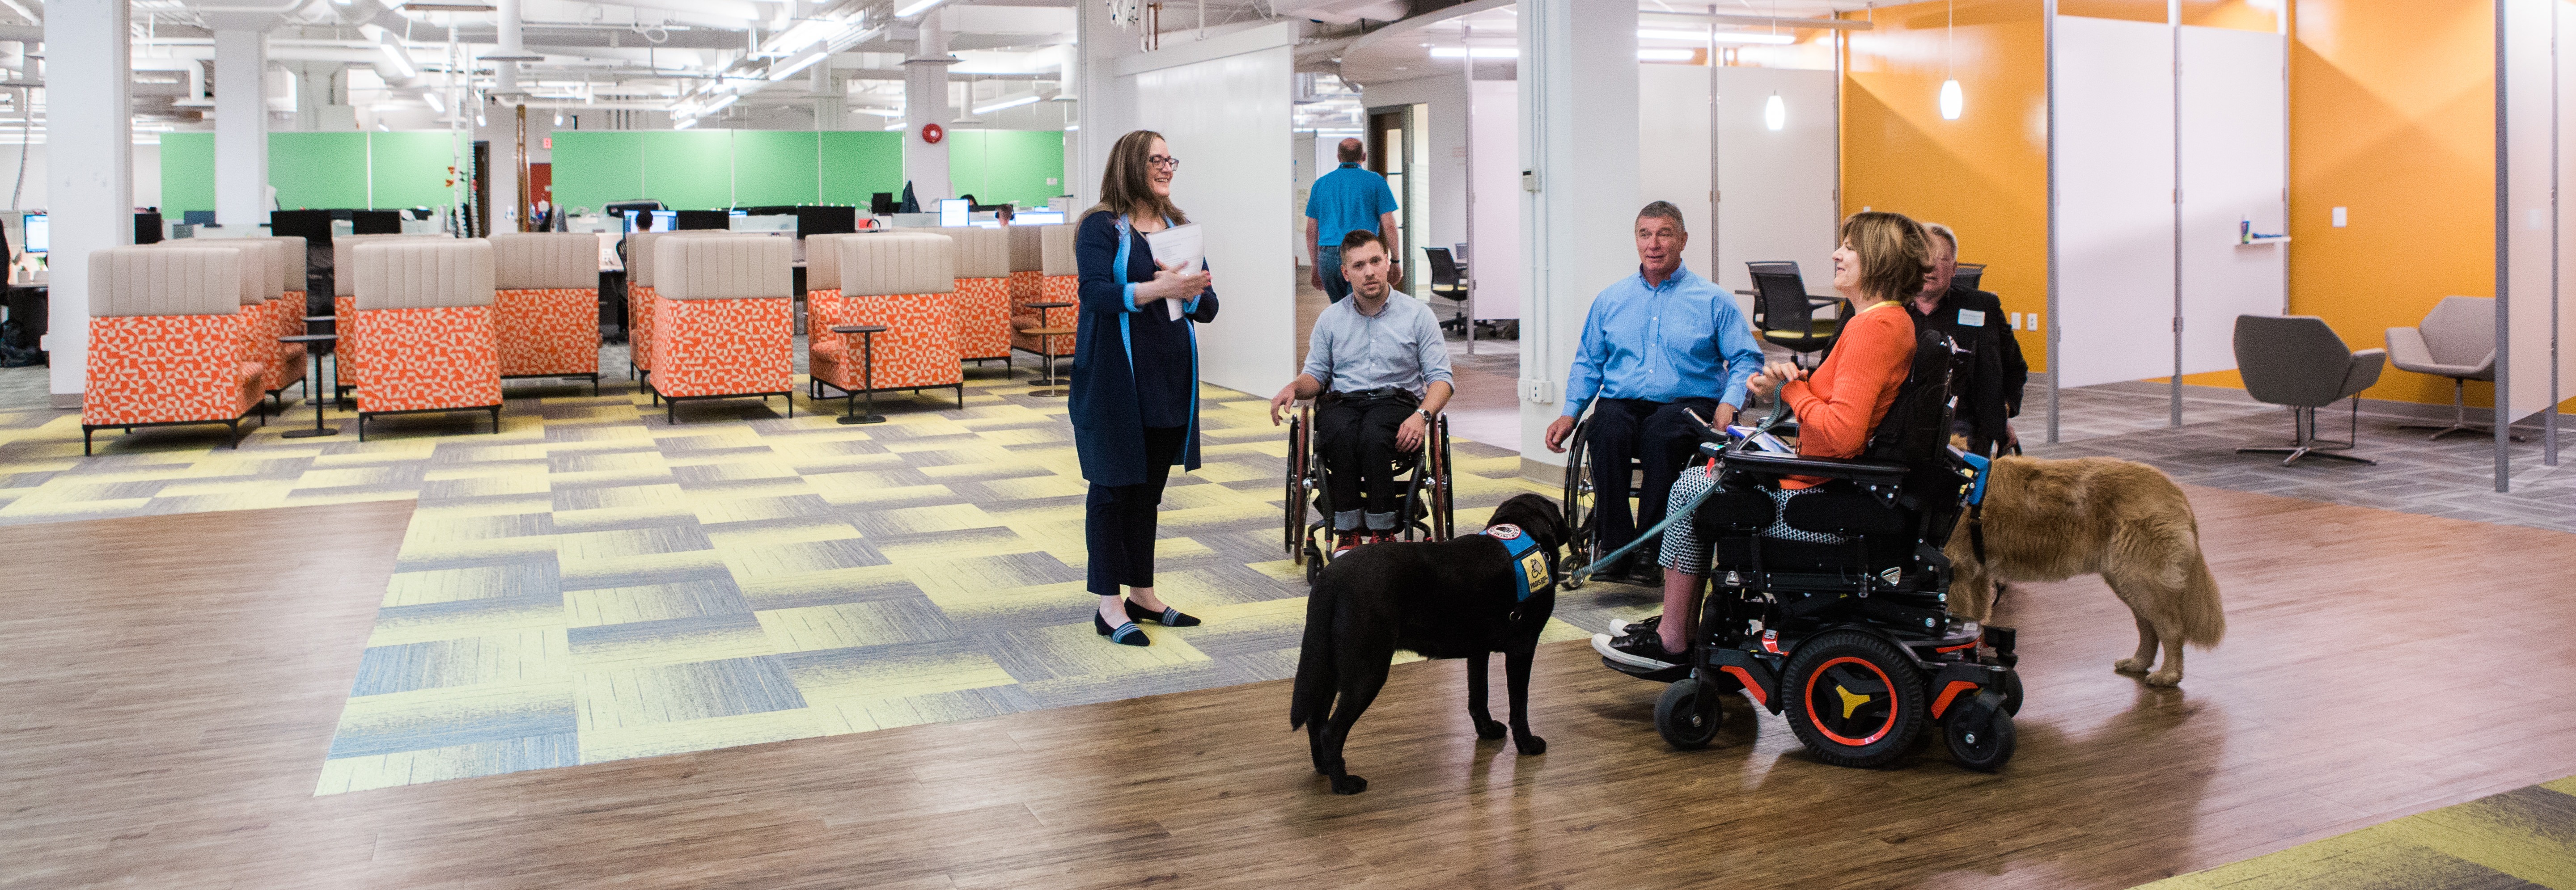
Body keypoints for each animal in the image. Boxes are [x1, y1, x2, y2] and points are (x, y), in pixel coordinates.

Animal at [1288, 494, 1566, 792]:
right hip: (1367, 671)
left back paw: (1324, 768)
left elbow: (1479, 697)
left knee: (1316, 720)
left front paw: (1488, 731)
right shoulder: (1523, 647)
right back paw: (1343, 783)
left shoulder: (1478, 651)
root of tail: (1330, 578)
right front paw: (1527, 745)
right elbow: (1519, 705)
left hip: (1327, 667)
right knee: (1331, 730)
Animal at [1947, 455, 2215, 684]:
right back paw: (2139, 663)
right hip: (2127, 582)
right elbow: (1976, 625)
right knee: (2148, 627)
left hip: (2140, 580)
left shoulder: (1957, 576)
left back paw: (2168, 675)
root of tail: (2173, 488)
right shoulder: (1974, 578)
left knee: (2171, 629)